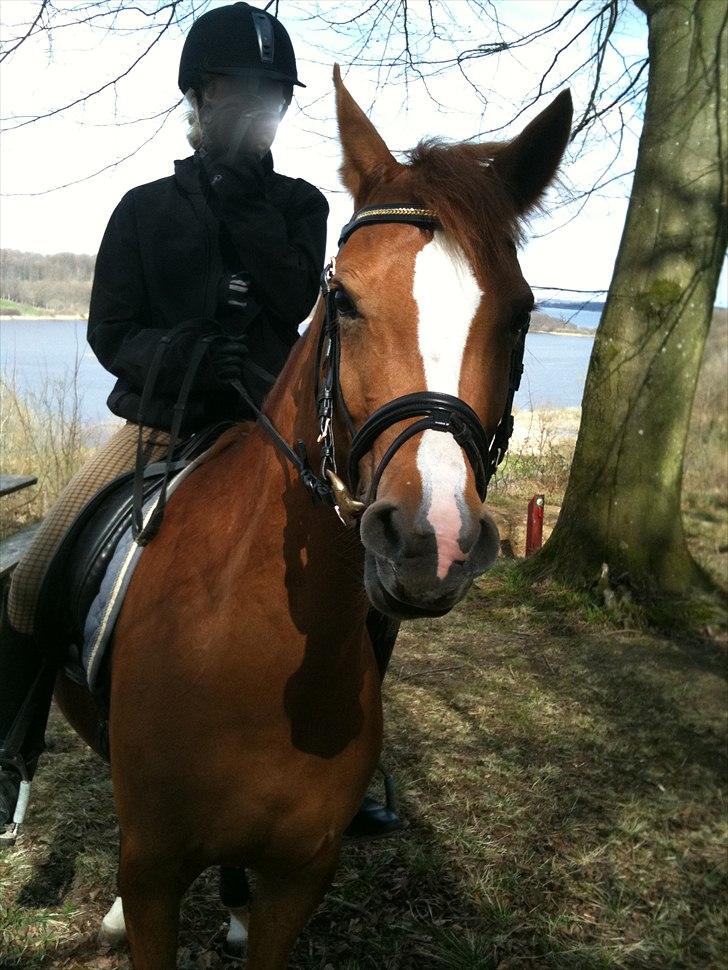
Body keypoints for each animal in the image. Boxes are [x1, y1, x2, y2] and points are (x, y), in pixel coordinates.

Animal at [52, 66, 572, 968]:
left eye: (519, 313)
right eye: (345, 299)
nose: (431, 540)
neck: (246, 648)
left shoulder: (300, 879)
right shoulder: (153, 872)